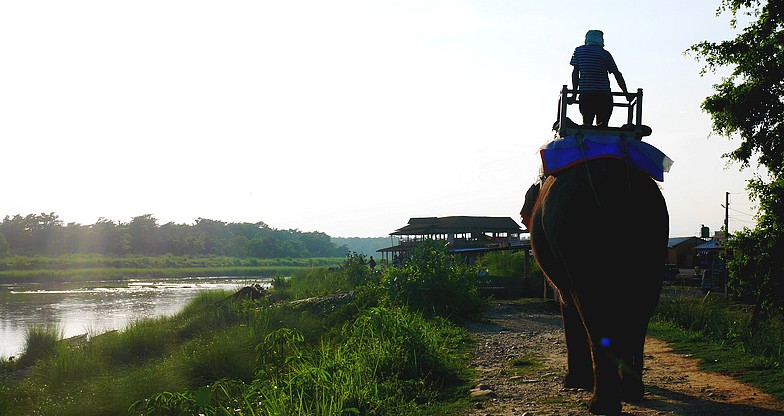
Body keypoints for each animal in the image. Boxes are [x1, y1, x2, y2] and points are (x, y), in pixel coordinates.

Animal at [520, 158, 668, 414]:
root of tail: (611, 176)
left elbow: (568, 303)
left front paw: (573, 382)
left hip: (575, 235)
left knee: (592, 309)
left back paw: (600, 405)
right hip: (654, 237)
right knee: (640, 311)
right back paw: (631, 393)